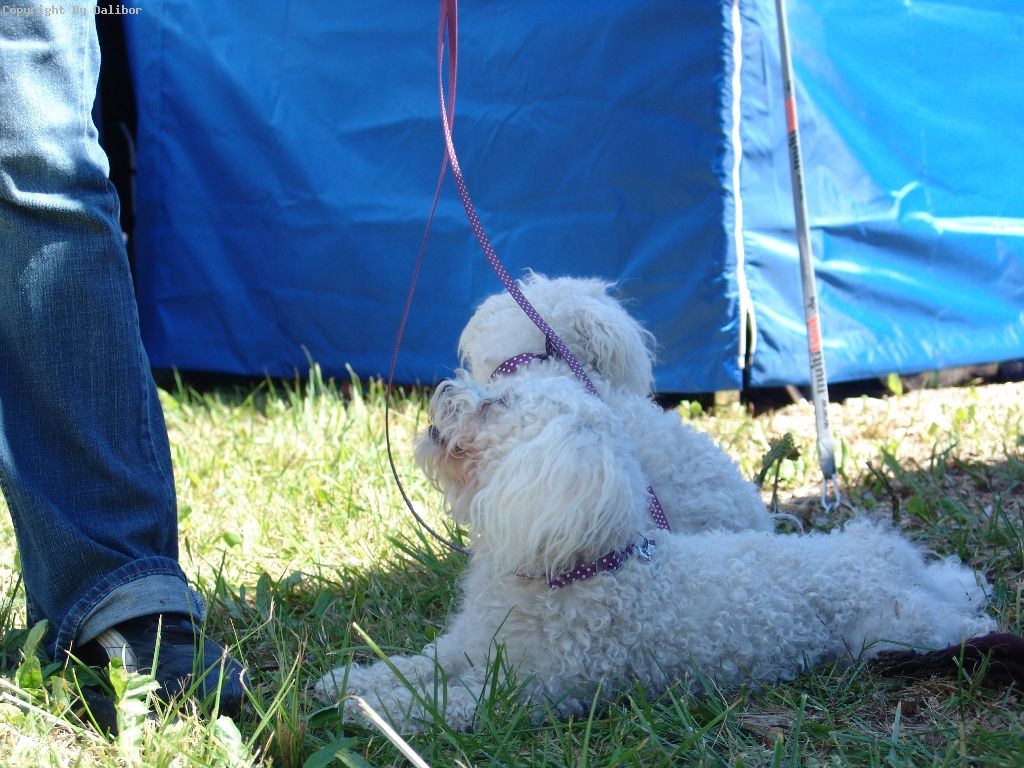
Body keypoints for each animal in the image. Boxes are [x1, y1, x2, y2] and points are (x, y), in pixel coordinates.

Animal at [315, 369, 995, 732]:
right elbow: (413, 663)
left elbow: (440, 700)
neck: (577, 568)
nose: (443, 389)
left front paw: (372, 709)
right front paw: (350, 680)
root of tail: (887, 561)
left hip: (894, 632)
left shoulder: (527, 692)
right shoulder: (468, 645)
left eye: (499, 402)